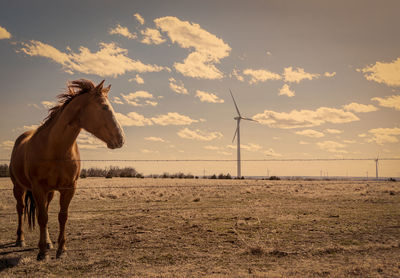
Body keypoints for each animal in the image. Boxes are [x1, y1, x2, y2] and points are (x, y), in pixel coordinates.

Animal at [9, 78, 125, 260]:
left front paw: (60, 249)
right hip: (19, 188)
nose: (121, 139)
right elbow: (42, 217)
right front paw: (42, 253)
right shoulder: (38, 188)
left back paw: (48, 242)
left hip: (48, 192)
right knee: (21, 210)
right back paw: (20, 240)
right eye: (104, 107)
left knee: (44, 210)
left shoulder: (69, 188)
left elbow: (61, 216)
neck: (56, 149)